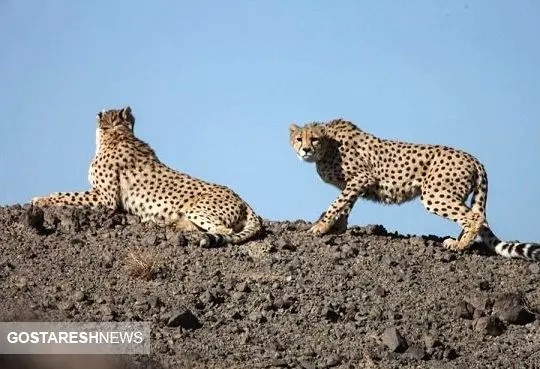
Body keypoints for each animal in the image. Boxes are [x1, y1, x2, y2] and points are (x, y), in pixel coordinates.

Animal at [31, 105, 264, 246]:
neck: (118, 134)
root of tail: (243, 199)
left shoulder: (105, 199)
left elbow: (66, 195)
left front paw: (40, 199)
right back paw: (169, 223)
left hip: (198, 208)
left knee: (224, 230)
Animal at [292, 119, 540, 260]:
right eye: (298, 138)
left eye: (314, 139)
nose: (305, 150)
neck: (328, 146)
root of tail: (475, 159)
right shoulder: (354, 184)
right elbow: (346, 204)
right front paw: (338, 227)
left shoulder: (362, 177)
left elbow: (337, 204)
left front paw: (321, 227)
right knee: (473, 216)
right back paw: (459, 241)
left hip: (434, 194)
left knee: (475, 217)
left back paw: (459, 245)